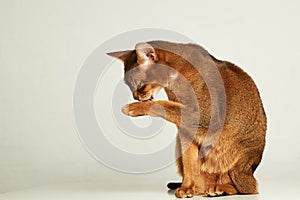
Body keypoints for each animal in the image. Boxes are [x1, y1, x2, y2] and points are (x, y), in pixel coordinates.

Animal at [106, 39, 266, 198]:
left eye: (140, 84)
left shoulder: (204, 115)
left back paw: (220, 188)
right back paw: (199, 188)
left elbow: (162, 105)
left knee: (247, 188)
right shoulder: (185, 130)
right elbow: (189, 163)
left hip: (233, 155)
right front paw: (187, 187)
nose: (135, 97)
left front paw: (133, 108)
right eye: (129, 85)